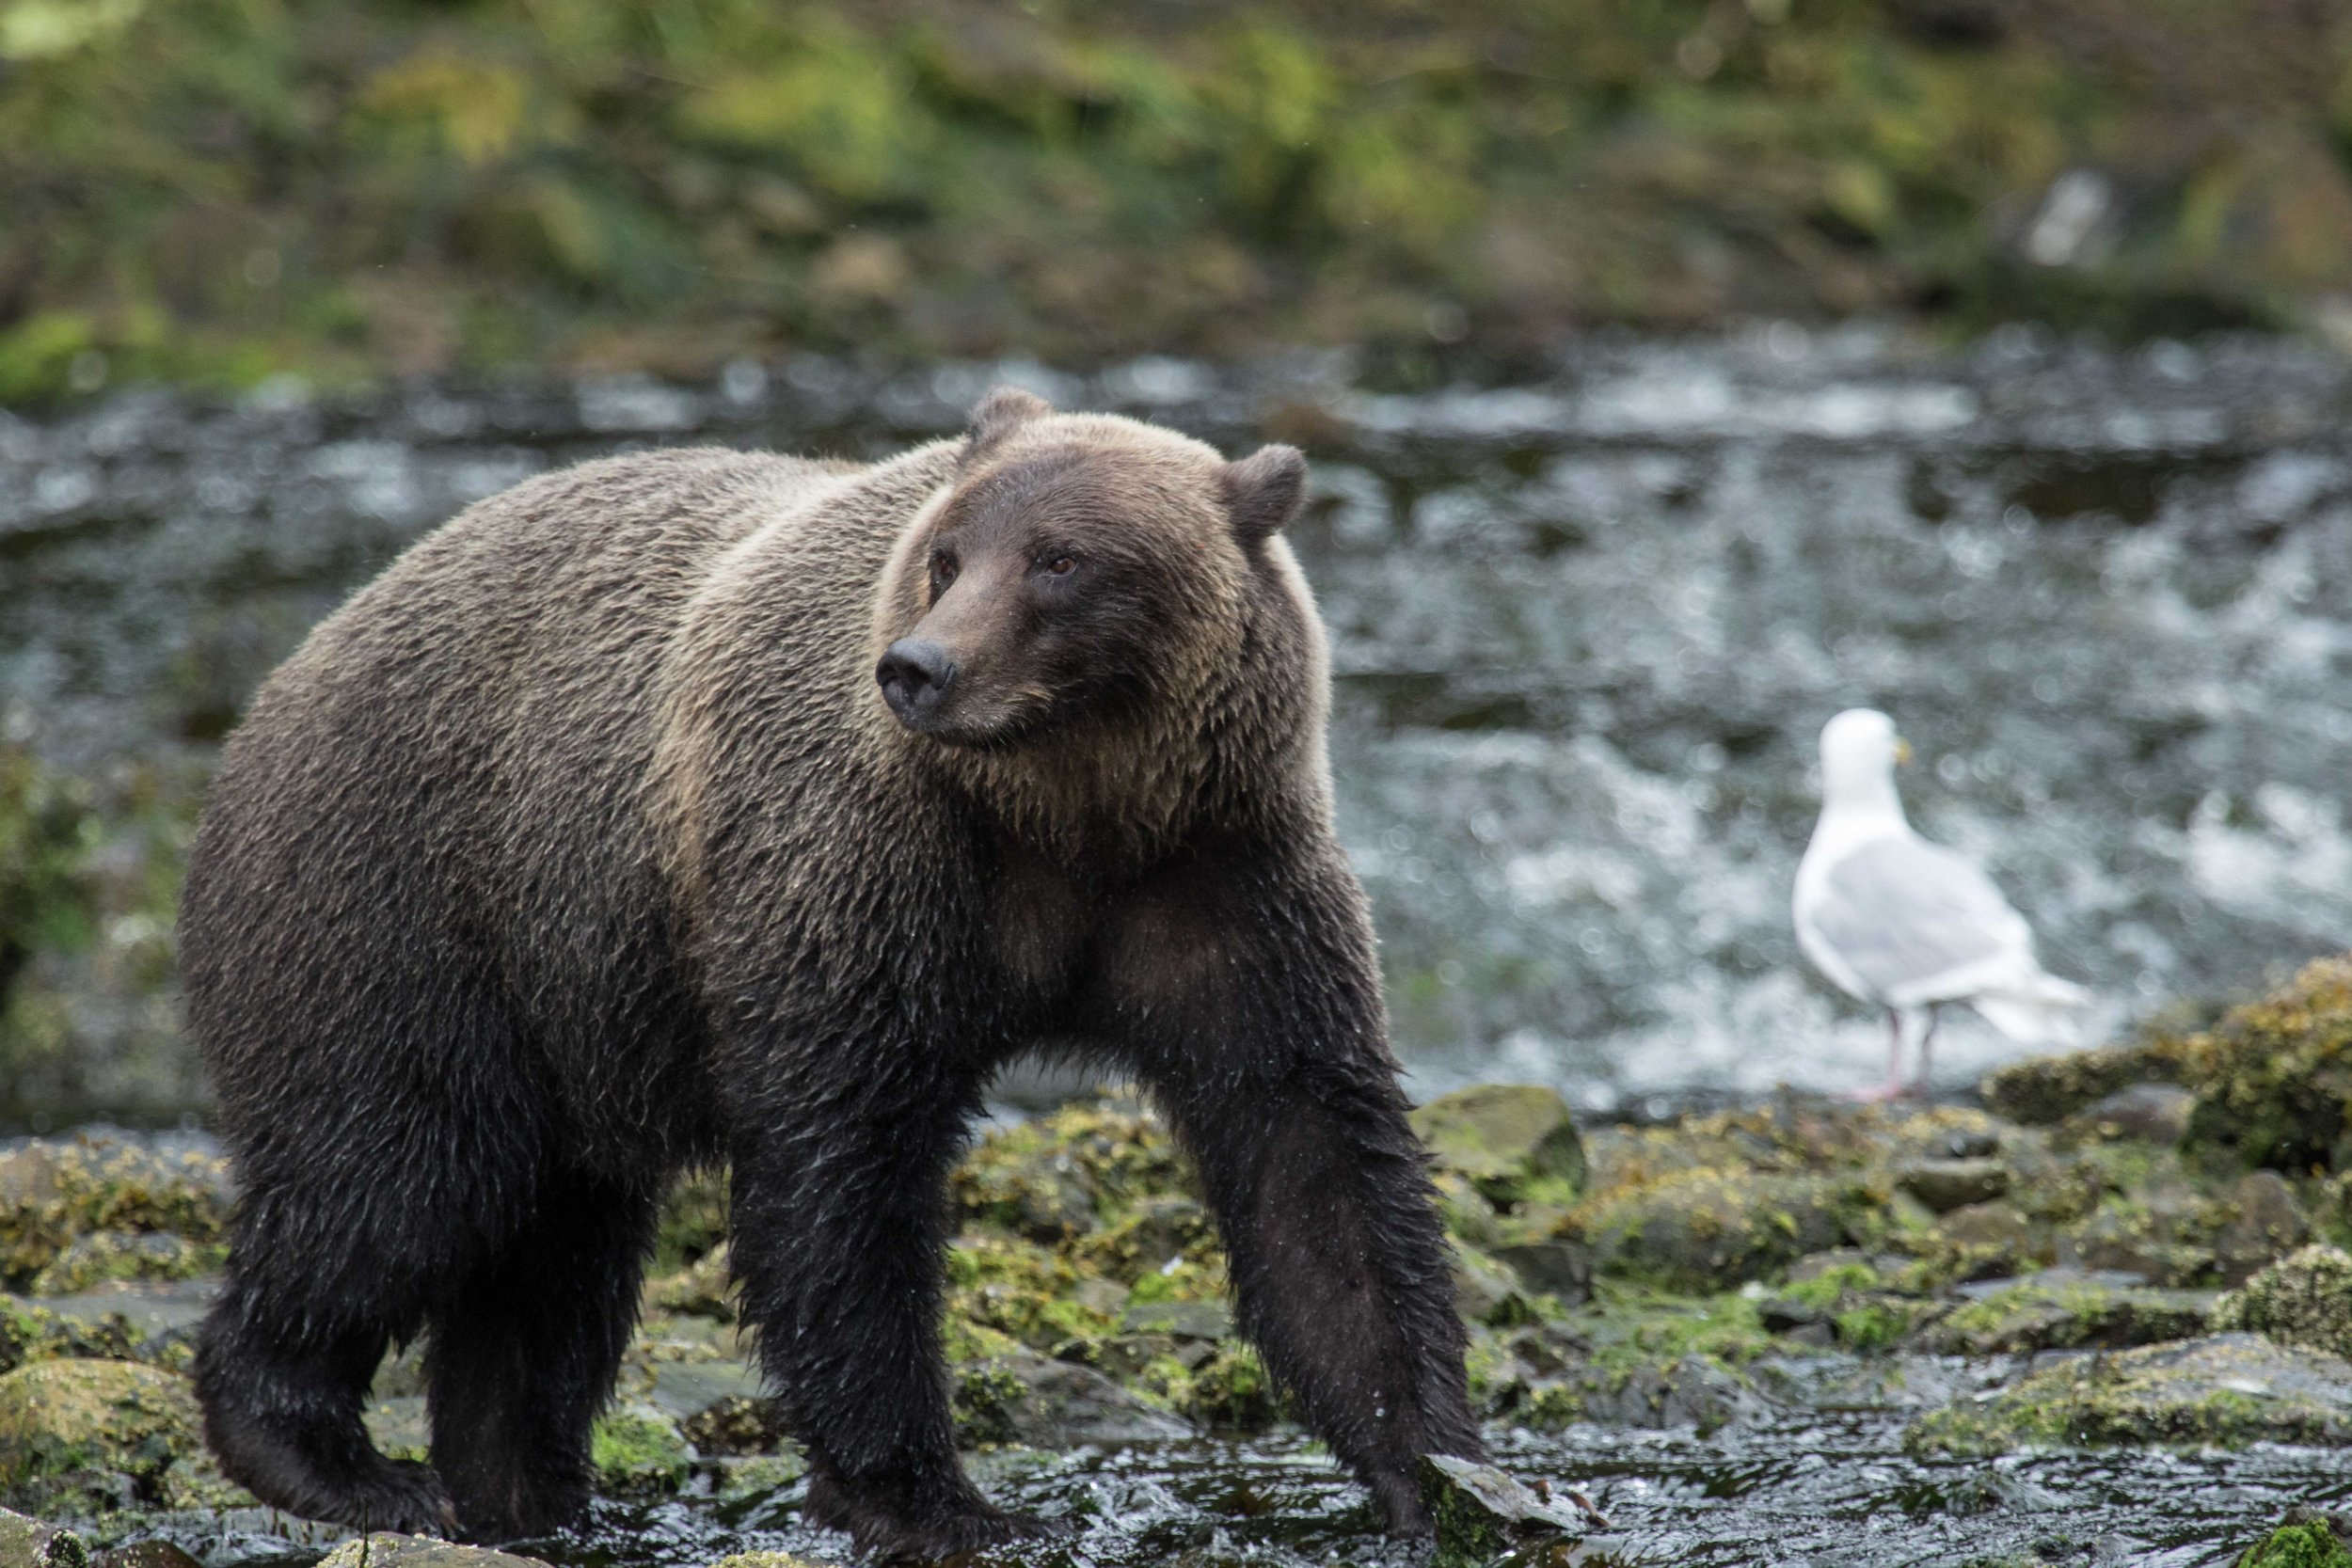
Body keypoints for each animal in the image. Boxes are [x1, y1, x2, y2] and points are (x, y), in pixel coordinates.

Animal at [183, 385, 1477, 1551]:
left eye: (1060, 559)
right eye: (949, 556)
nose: (919, 667)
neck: (1065, 809)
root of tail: (286, 678)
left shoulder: (1221, 879)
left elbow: (1314, 1154)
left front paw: (1434, 1462)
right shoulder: (861, 873)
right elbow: (844, 1180)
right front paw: (933, 1497)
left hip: (569, 1007)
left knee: (553, 1259)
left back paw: (521, 1485)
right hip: (414, 914)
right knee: (394, 1177)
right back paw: (333, 1456)